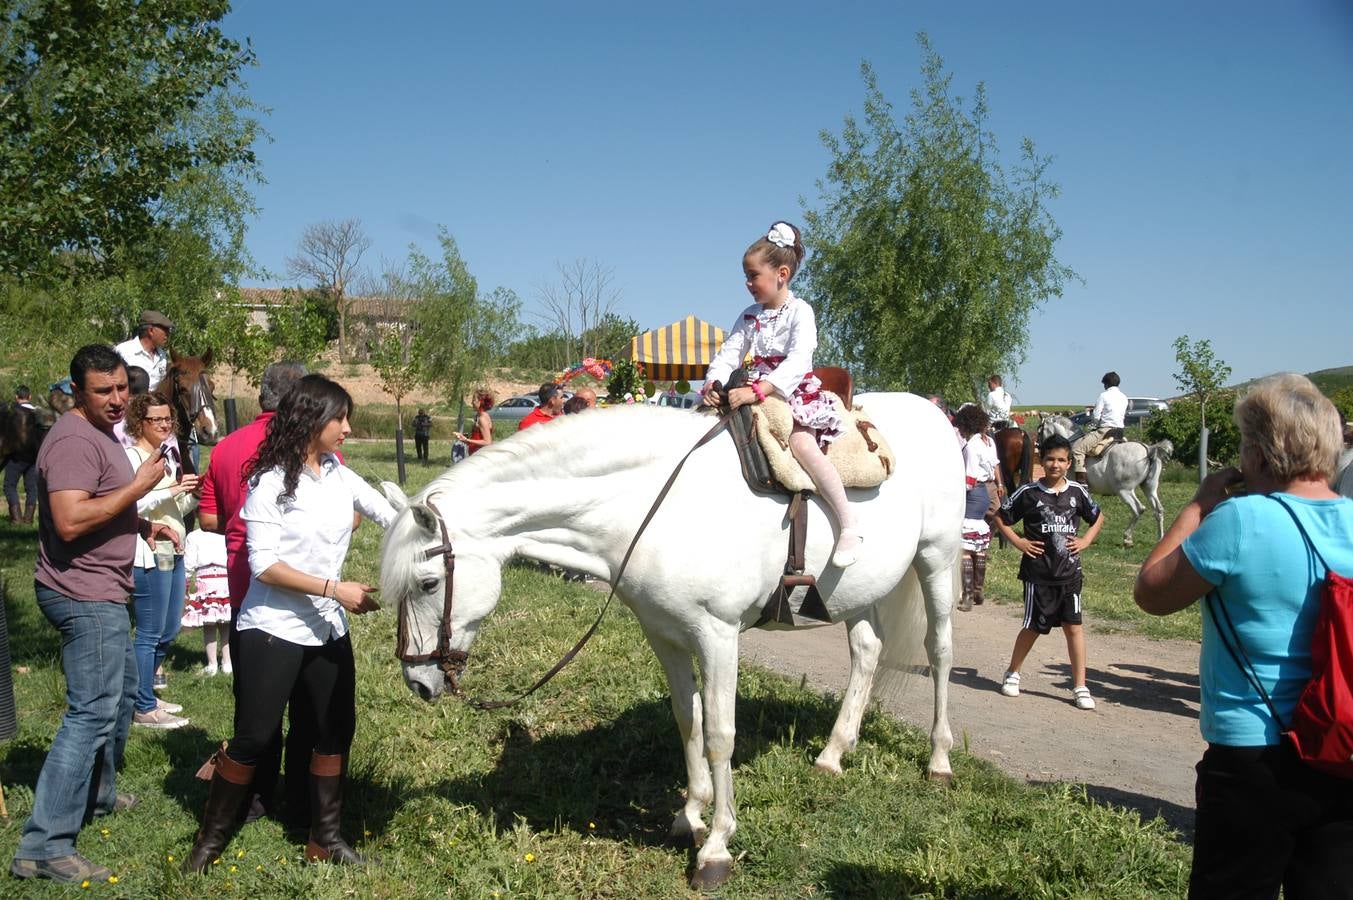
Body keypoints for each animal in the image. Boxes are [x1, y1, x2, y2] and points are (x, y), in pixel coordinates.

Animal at [370, 397, 963, 887]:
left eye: (428, 583)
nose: (418, 680)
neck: (660, 505)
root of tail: (934, 413)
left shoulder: (718, 635)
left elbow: (720, 733)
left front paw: (716, 848)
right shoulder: (665, 635)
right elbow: (688, 719)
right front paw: (689, 815)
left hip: (936, 559)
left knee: (939, 653)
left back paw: (939, 759)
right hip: (855, 592)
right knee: (866, 651)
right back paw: (834, 753)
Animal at [1033, 416, 1174, 546]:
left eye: (1039, 430)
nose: (1038, 448)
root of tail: (1149, 449)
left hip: (1124, 490)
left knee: (1138, 509)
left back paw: (1127, 538)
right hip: (1149, 488)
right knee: (1158, 510)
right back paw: (1160, 539)